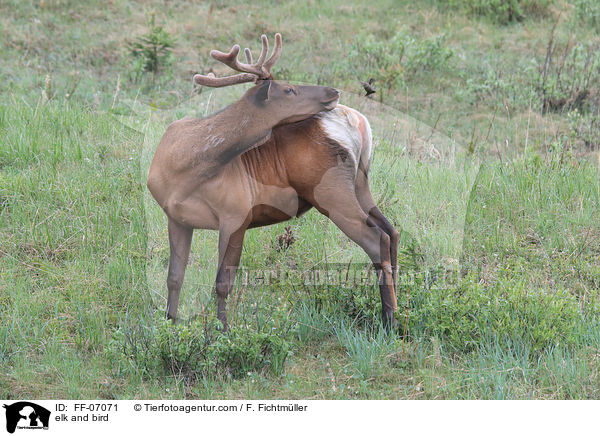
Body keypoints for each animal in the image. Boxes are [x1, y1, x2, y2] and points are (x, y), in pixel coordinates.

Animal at [146, 34, 400, 330]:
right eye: (289, 89)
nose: (334, 91)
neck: (183, 167)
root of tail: (357, 121)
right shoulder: (177, 217)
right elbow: (174, 277)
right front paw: (170, 323)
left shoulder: (237, 214)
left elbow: (222, 283)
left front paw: (222, 331)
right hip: (360, 184)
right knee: (390, 231)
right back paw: (399, 304)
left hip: (331, 192)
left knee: (376, 238)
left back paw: (390, 319)